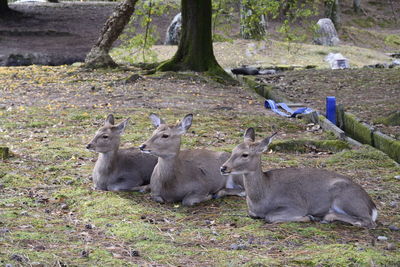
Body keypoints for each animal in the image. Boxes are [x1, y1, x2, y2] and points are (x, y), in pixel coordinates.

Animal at [220, 129, 380, 229]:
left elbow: (270, 217)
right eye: (233, 150)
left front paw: (307, 217)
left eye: (245, 154)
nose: (223, 168)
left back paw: (325, 217)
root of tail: (372, 206)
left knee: (367, 222)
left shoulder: (295, 204)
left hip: (346, 199)